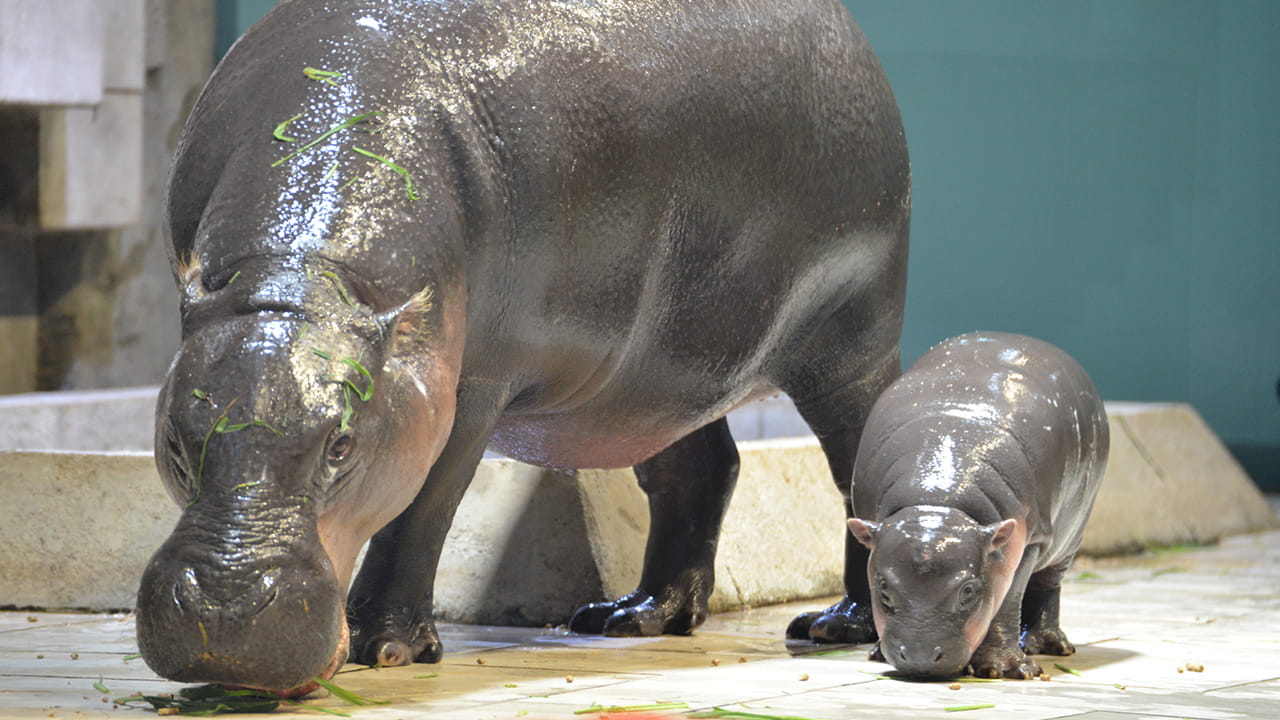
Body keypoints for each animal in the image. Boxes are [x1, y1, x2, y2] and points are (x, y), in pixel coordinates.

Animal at [137, 0, 911, 691]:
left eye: (342, 445)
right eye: (172, 439)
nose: (226, 618)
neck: (305, 277)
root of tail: (852, 34)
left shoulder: (470, 388)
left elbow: (423, 508)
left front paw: (384, 648)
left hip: (849, 345)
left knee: (858, 459)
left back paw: (840, 625)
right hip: (656, 377)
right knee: (700, 469)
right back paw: (631, 616)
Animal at [844, 330, 1105, 676]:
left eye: (967, 591)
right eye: (883, 590)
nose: (920, 658)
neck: (936, 502)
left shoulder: (1027, 542)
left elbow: (1008, 600)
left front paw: (1006, 668)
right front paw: (876, 652)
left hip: (1069, 538)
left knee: (1048, 586)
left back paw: (1048, 645)